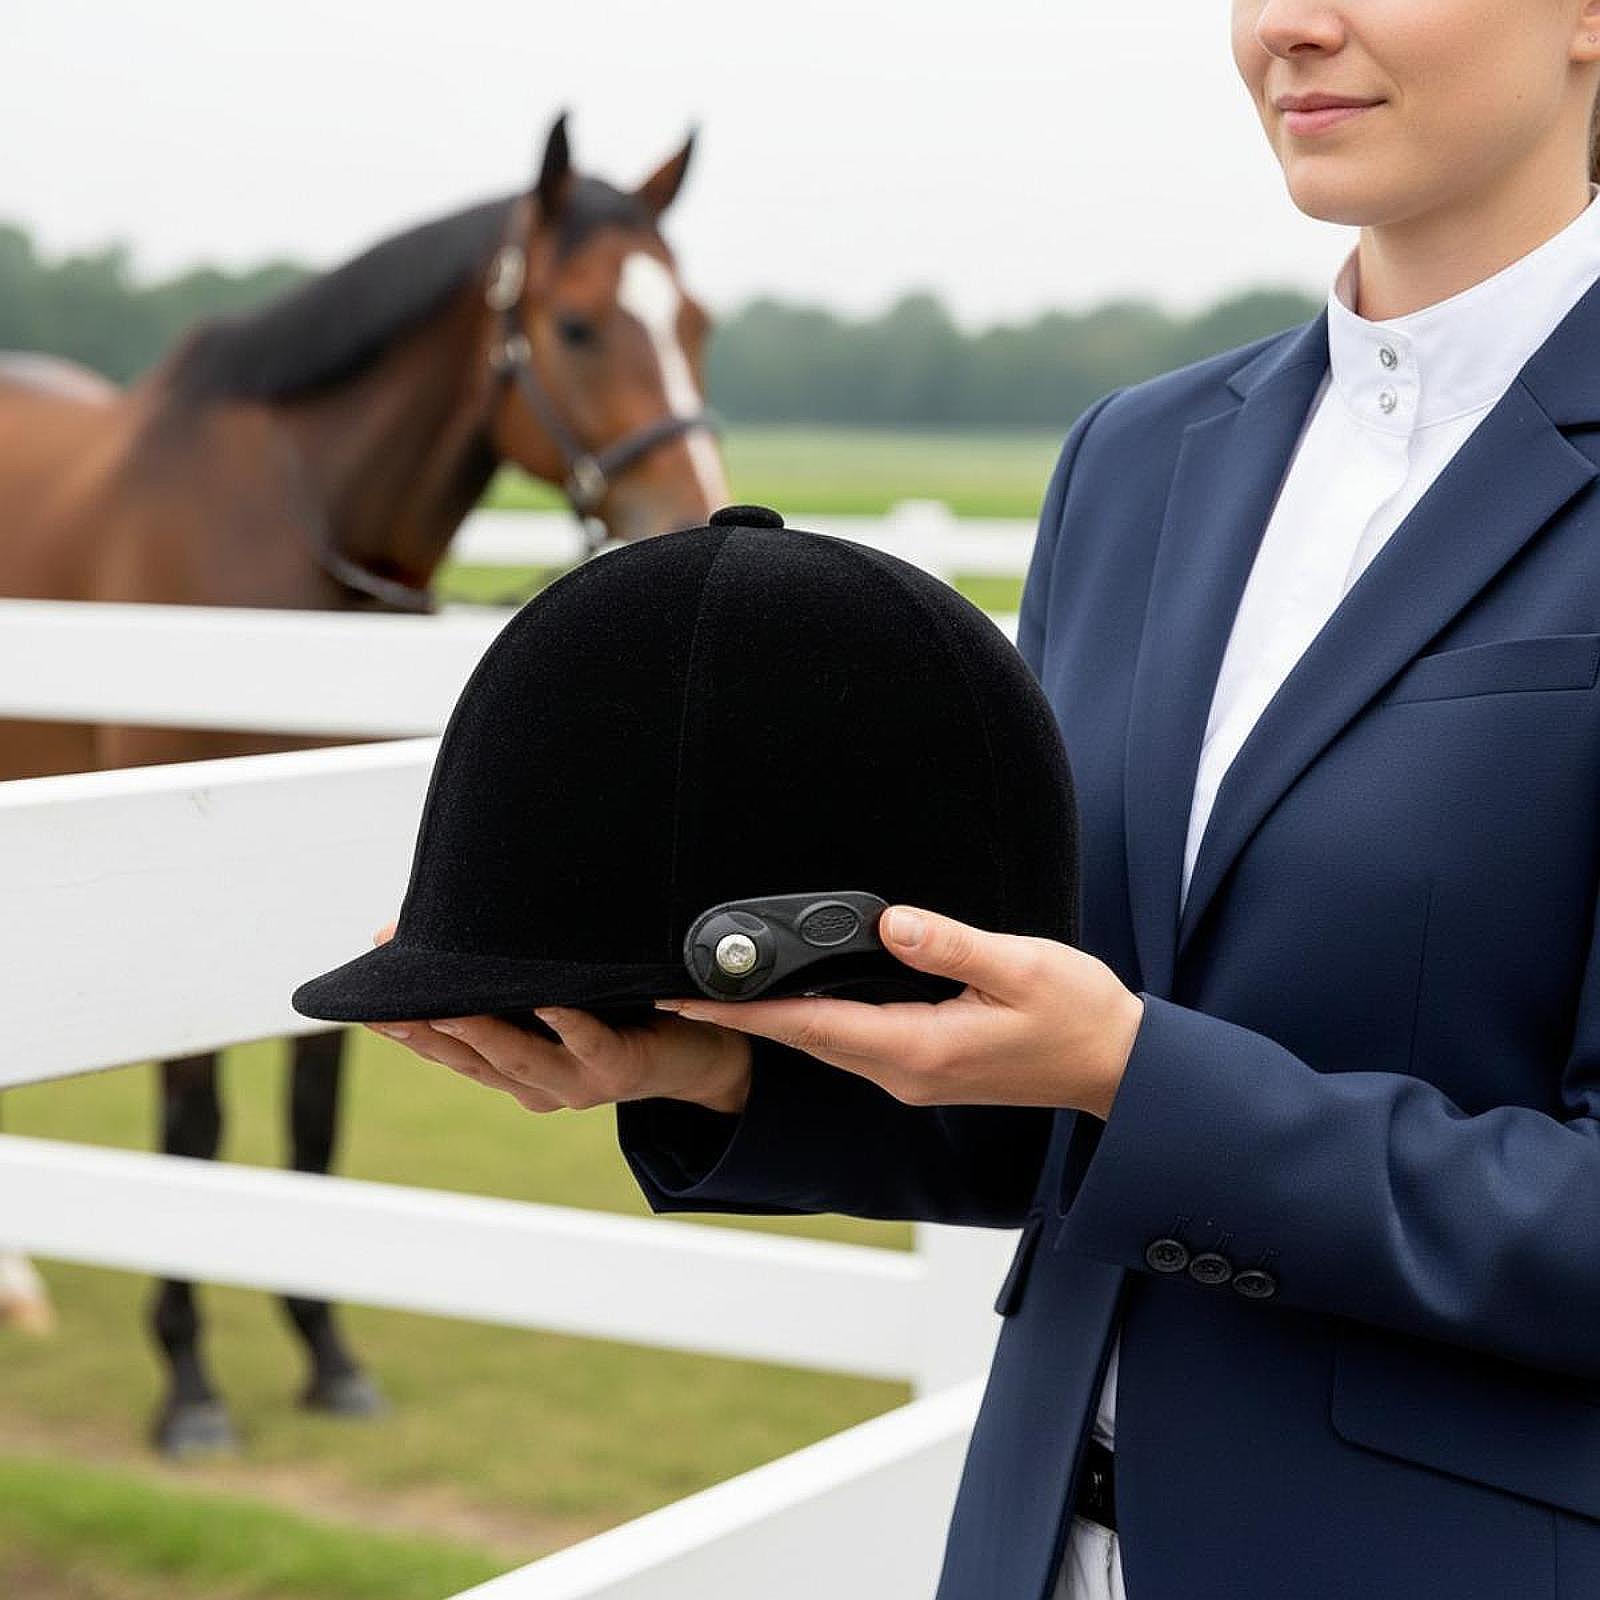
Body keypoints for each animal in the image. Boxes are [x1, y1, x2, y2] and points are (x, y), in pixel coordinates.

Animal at [0, 107, 732, 1454]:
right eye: (578, 325)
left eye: (695, 318)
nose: (694, 512)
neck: (278, 538)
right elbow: (192, 1127)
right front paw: (190, 1382)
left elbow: (314, 1112)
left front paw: (328, 1350)